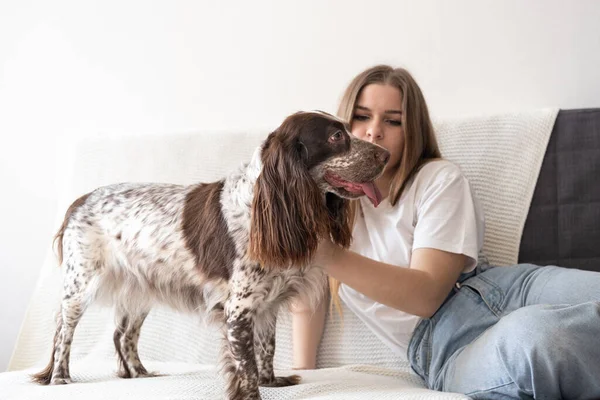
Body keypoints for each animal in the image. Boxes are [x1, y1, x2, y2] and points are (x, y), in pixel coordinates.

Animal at [32, 110, 390, 400]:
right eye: (336, 137)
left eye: (349, 130)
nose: (386, 154)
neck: (262, 205)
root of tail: (81, 200)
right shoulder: (238, 307)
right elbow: (245, 366)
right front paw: (253, 394)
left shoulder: (267, 304)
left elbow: (267, 348)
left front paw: (272, 381)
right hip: (80, 286)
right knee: (63, 331)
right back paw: (60, 377)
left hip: (142, 289)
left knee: (123, 335)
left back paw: (138, 373)